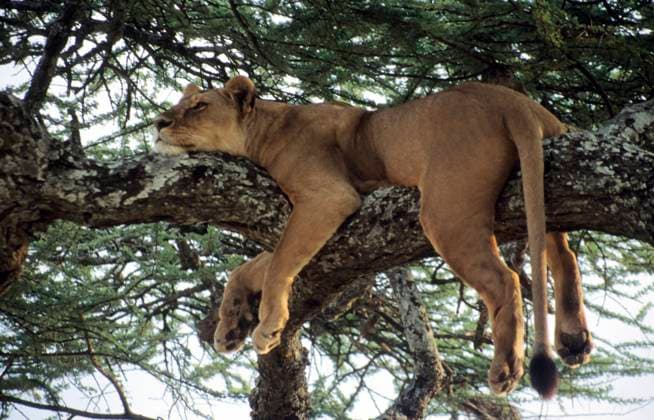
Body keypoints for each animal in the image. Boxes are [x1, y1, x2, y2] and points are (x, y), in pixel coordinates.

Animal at [153, 76, 593, 398]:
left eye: (198, 106)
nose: (158, 123)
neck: (266, 129)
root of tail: (512, 100)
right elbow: (251, 266)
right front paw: (231, 326)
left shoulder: (328, 197)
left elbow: (278, 262)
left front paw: (267, 326)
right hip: (542, 185)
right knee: (563, 256)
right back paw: (573, 340)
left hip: (446, 211)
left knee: (506, 281)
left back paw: (505, 368)